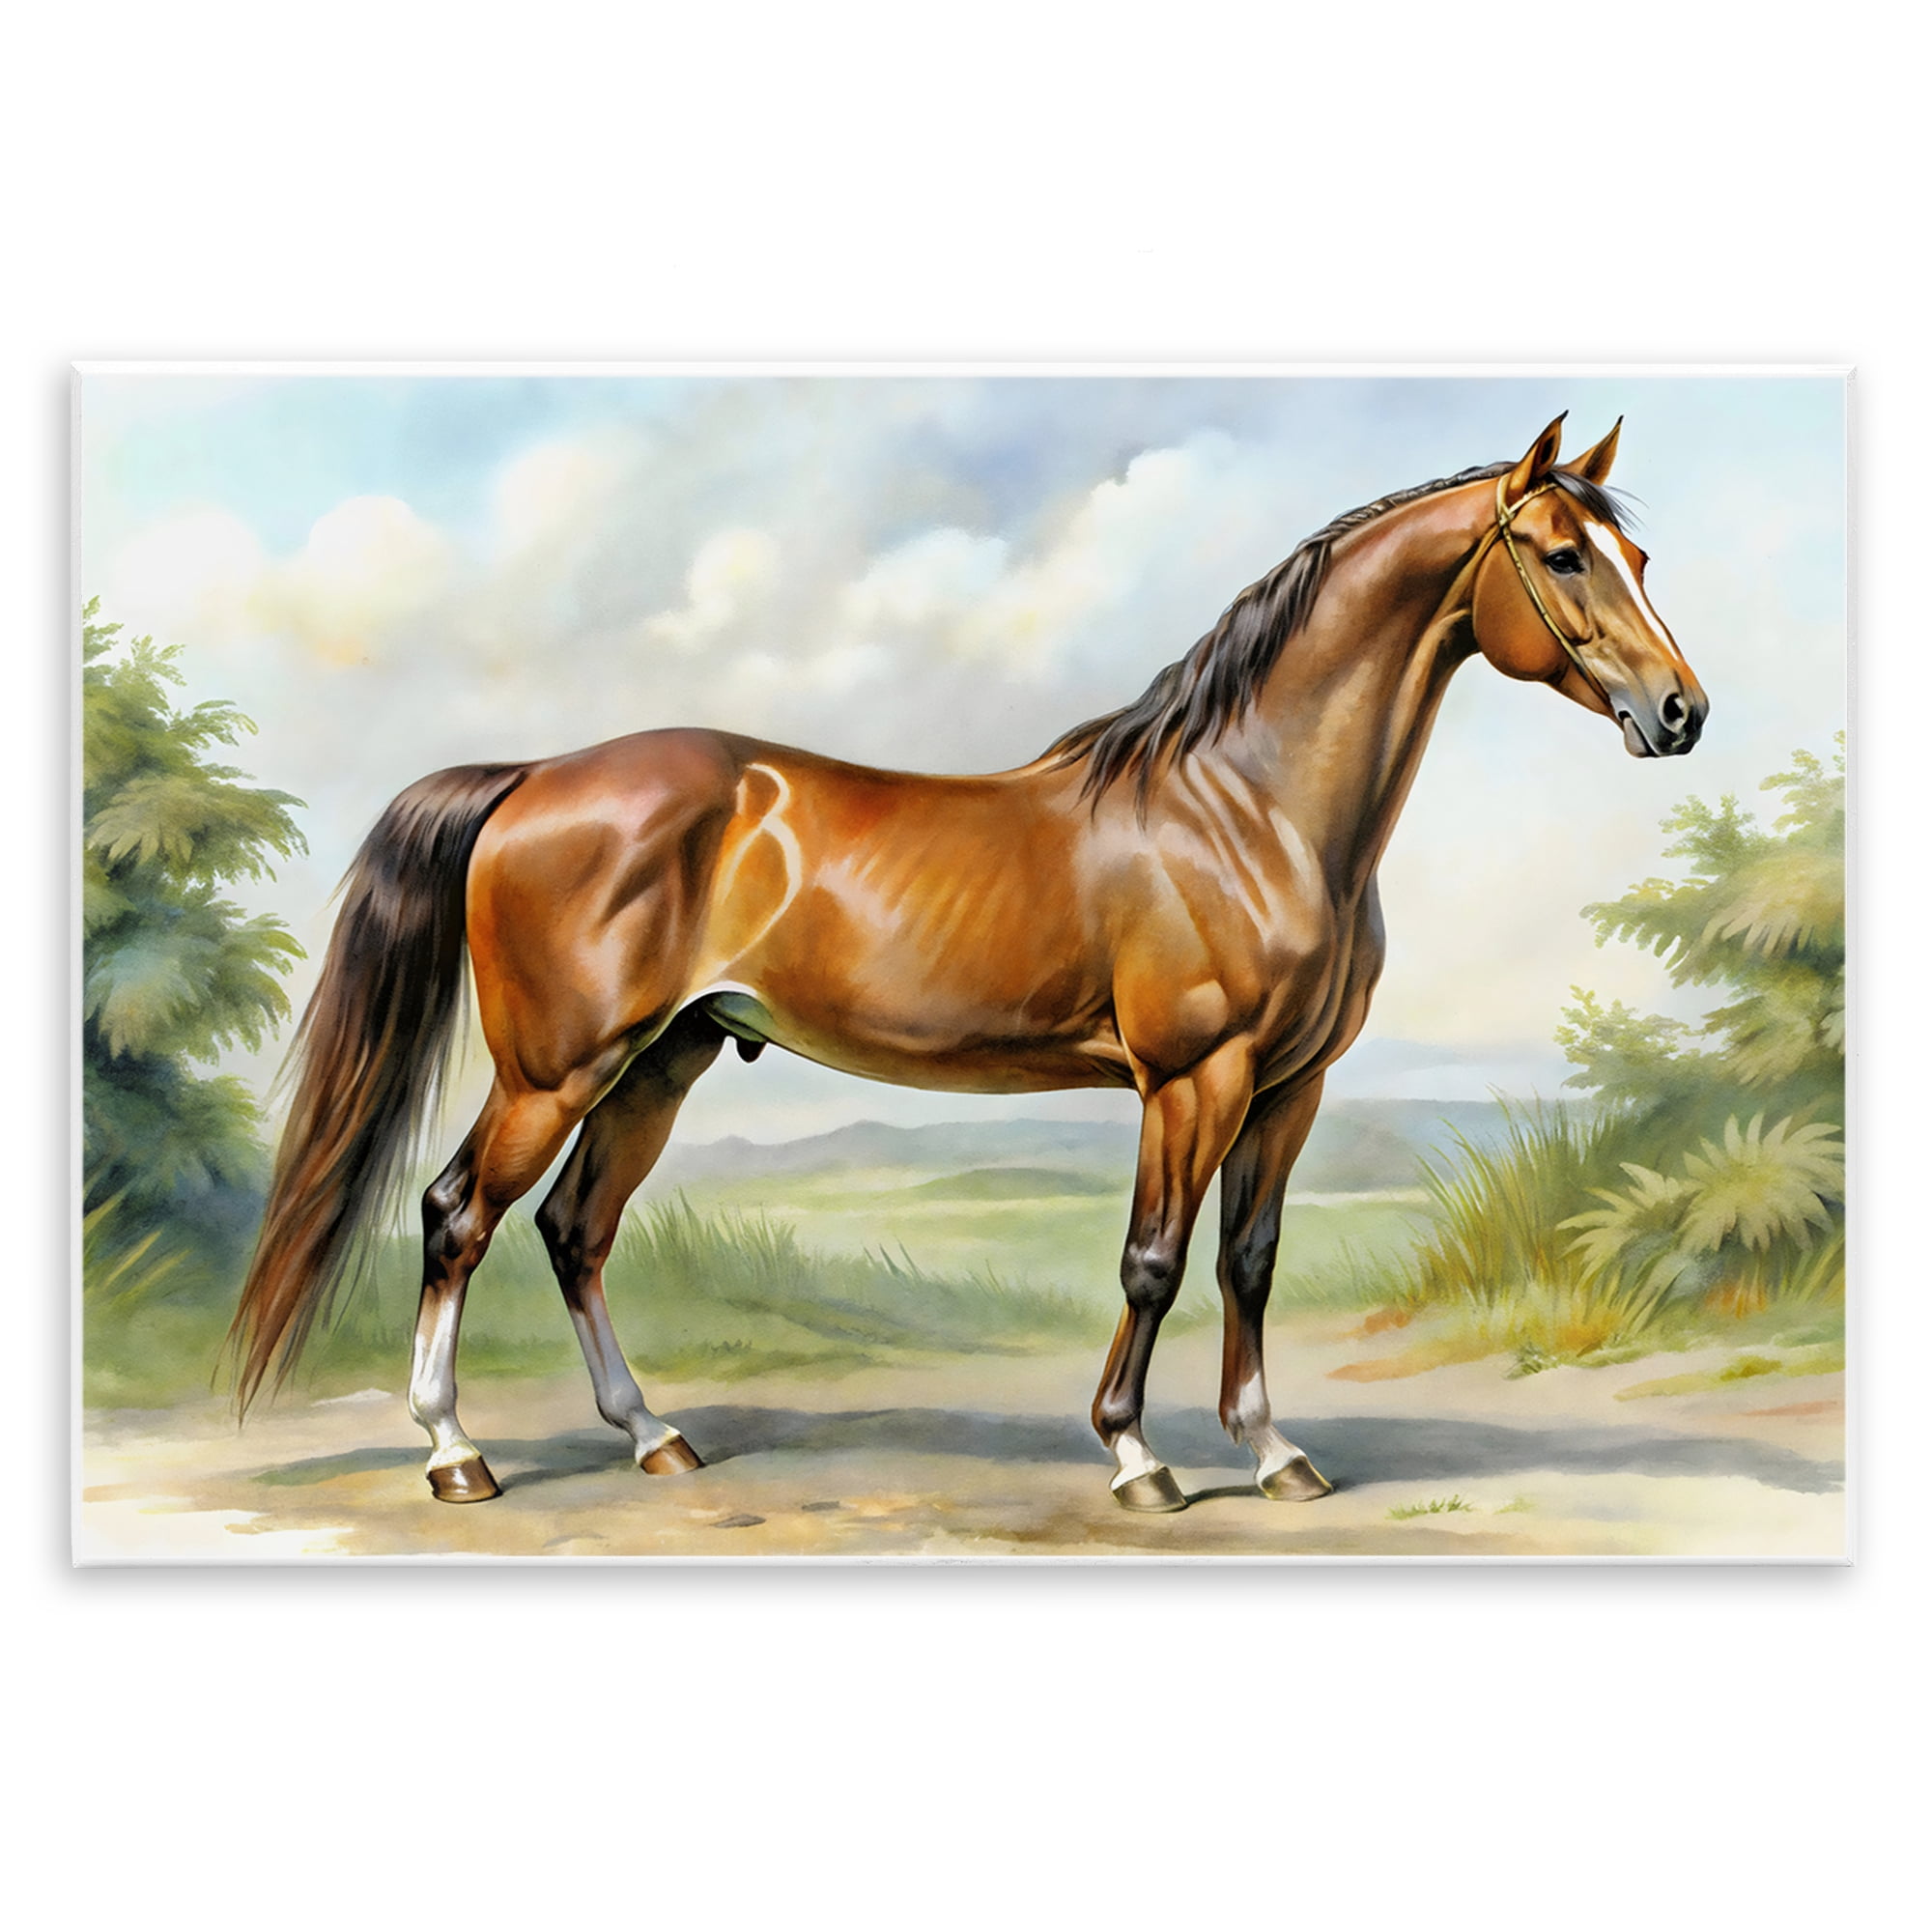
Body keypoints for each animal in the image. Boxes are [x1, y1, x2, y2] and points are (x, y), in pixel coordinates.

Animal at [230, 413, 1706, 1514]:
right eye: (1564, 557)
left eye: (1637, 550)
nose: (1679, 711)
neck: (1249, 806)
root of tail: (535, 777)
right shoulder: (1193, 1077)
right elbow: (1154, 1259)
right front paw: (1135, 1454)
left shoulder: (1291, 1088)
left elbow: (1250, 1259)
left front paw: (1276, 1452)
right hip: (557, 1067)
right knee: (456, 1216)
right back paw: (455, 1453)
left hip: (661, 1062)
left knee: (573, 1231)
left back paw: (653, 1436)